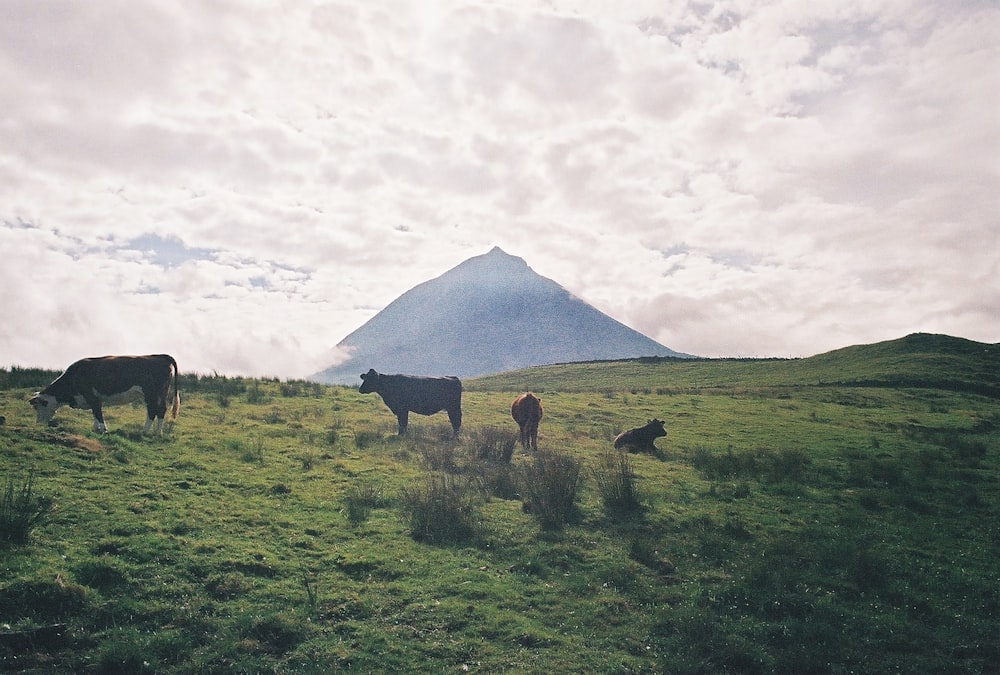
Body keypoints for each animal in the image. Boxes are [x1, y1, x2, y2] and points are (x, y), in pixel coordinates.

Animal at [27, 354, 180, 434]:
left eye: (38, 406)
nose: (38, 423)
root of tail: (159, 356)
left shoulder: (91, 396)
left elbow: (98, 412)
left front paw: (103, 429)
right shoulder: (93, 399)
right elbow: (95, 413)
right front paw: (95, 428)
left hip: (151, 393)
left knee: (153, 410)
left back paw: (145, 431)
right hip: (162, 393)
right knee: (161, 410)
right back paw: (157, 432)